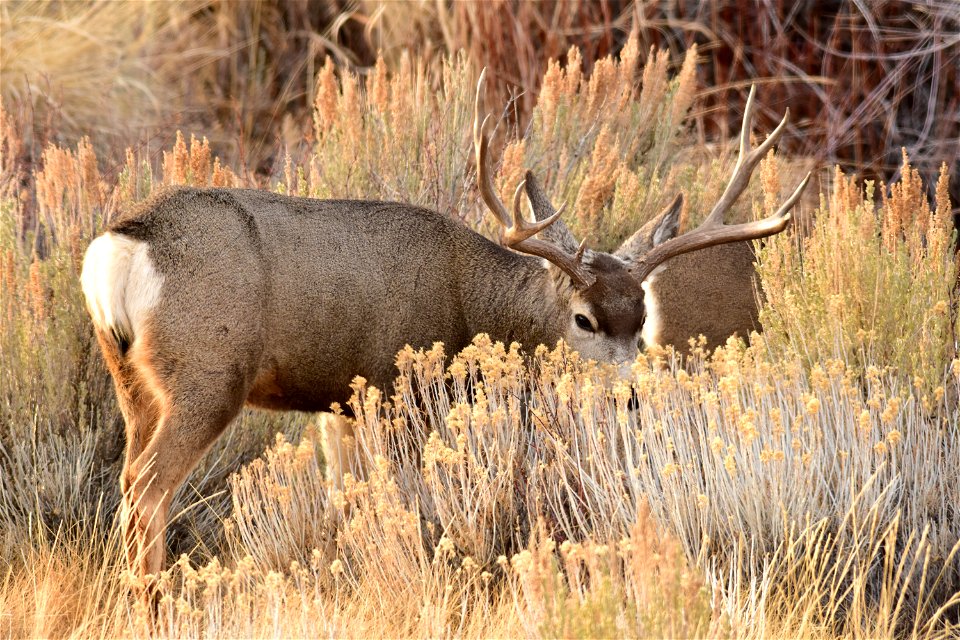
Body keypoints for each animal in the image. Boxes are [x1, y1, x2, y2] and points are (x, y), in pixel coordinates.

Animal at [79, 76, 808, 596]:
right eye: (583, 319)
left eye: (642, 319)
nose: (628, 396)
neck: (466, 299)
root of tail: (122, 244)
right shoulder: (394, 387)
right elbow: (398, 499)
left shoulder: (341, 402)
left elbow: (346, 498)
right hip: (209, 373)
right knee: (145, 485)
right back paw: (153, 600)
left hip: (133, 380)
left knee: (129, 481)